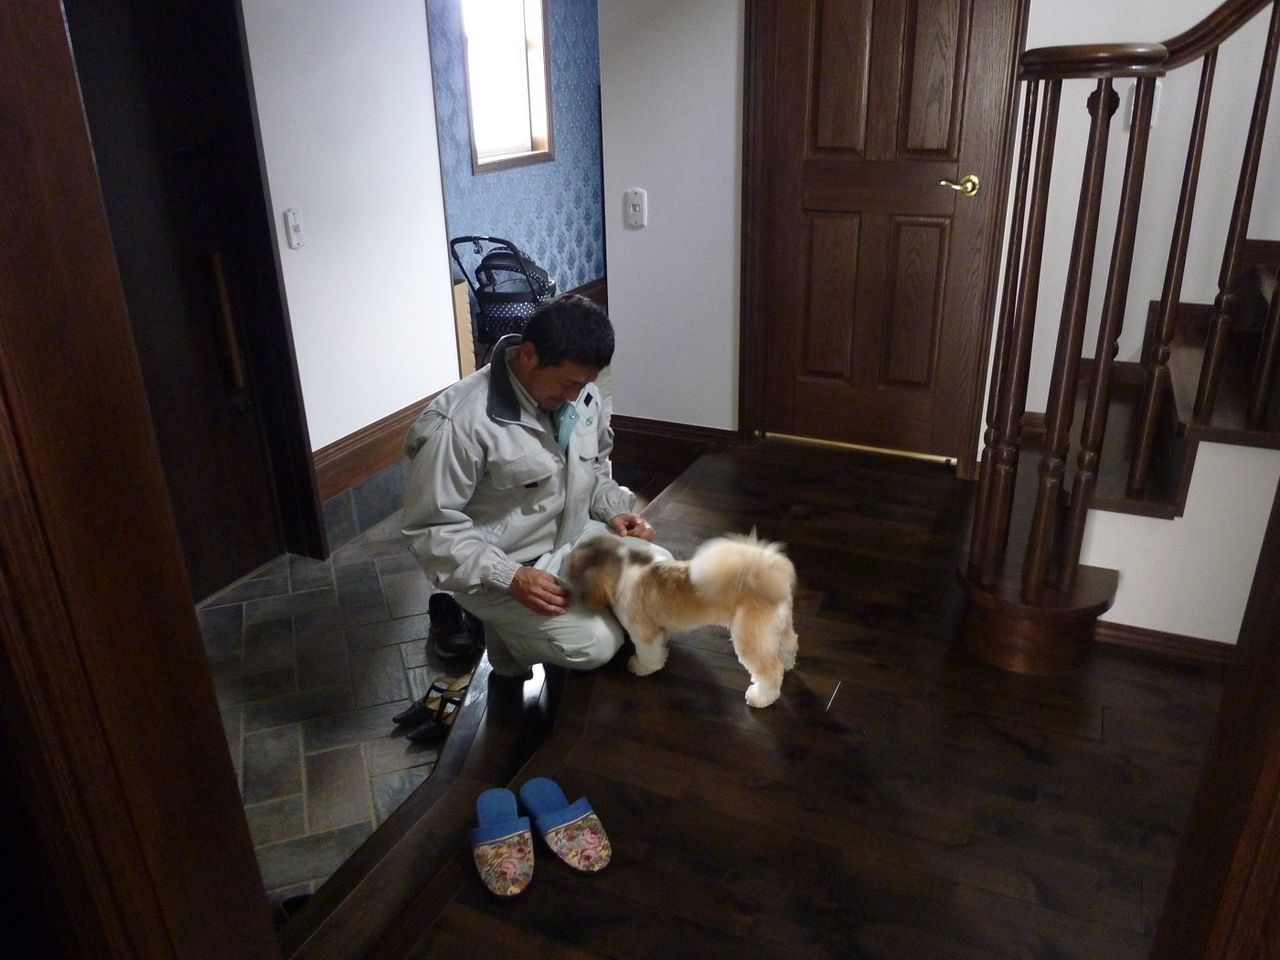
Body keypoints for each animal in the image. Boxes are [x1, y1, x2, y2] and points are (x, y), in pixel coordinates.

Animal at [566, 532, 799, 707]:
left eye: (572, 571)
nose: (565, 586)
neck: (622, 573)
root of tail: (763, 573)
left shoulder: (643, 632)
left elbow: (648, 653)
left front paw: (642, 666)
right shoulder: (658, 629)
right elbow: (660, 645)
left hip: (750, 636)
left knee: (770, 671)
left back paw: (761, 697)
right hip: (778, 627)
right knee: (789, 644)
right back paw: (787, 663)